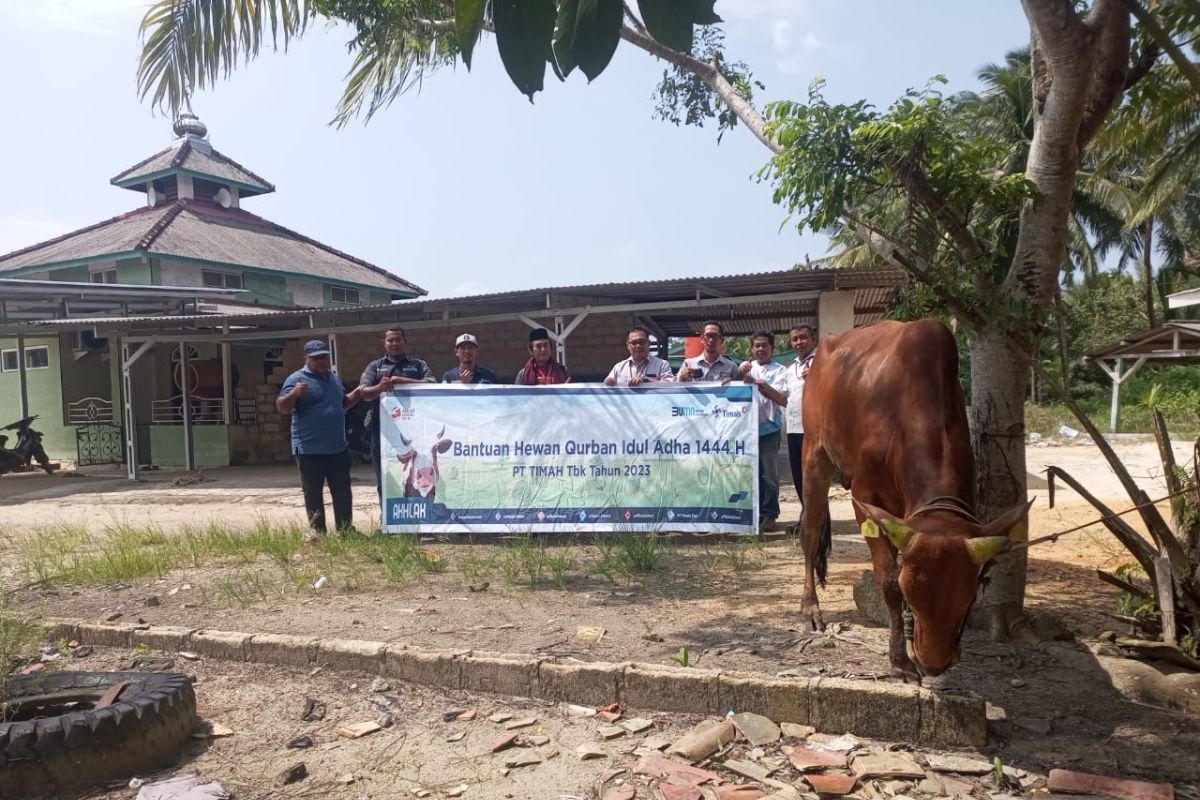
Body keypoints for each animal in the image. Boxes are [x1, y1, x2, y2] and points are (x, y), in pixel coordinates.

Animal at [796, 319, 1032, 676]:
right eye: (911, 592)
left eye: (970, 595)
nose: (933, 664)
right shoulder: (865, 498)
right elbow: (888, 581)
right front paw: (899, 660)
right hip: (815, 452)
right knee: (810, 533)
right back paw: (811, 608)